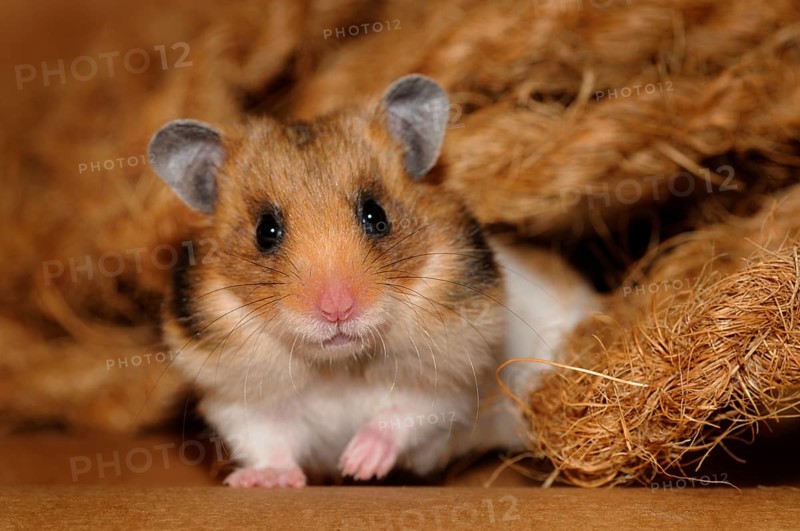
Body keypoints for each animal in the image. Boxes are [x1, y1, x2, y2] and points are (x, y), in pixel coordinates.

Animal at [147, 74, 599, 487]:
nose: (337, 310)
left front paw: (358, 465)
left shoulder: (447, 384)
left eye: (376, 214)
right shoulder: (238, 399)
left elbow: (401, 416)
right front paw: (262, 481)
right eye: (265, 231)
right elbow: (267, 442)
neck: (339, 364)